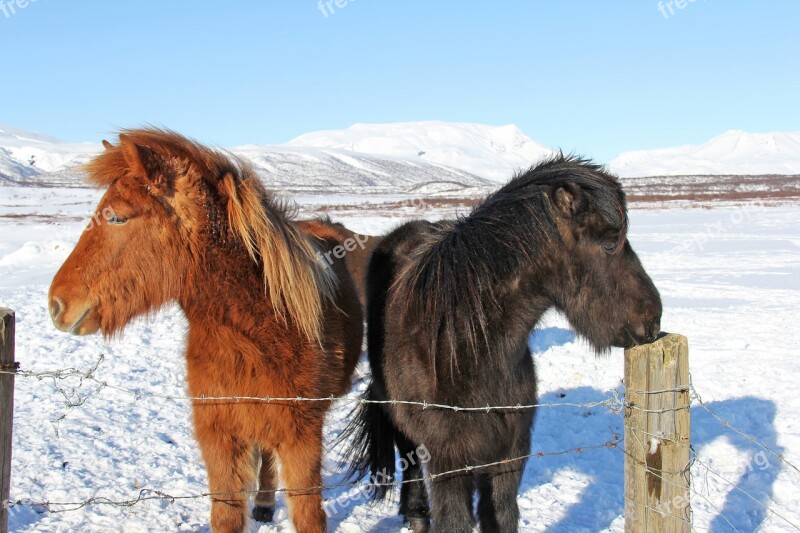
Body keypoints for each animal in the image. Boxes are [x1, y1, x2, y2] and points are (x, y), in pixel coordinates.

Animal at [47, 130, 362, 532]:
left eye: (117, 217)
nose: (56, 304)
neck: (255, 334)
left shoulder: (301, 435)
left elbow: (308, 514)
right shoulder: (218, 436)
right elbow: (226, 513)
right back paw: (263, 504)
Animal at [344, 155, 664, 532]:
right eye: (610, 243)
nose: (653, 320)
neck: (467, 350)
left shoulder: (509, 455)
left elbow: (501, 513)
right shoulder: (449, 461)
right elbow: (454, 521)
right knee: (406, 452)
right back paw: (417, 513)